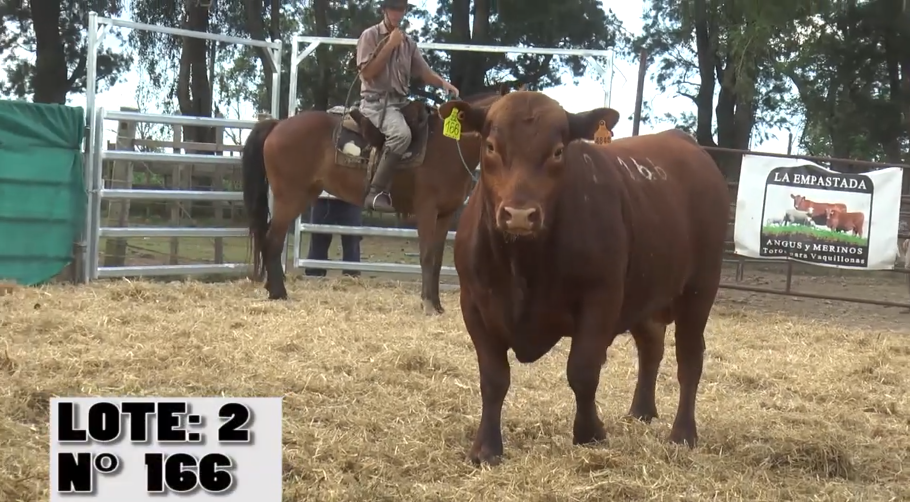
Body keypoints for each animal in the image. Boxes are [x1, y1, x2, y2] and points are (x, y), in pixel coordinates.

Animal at [242, 88, 516, 312]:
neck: (449, 146)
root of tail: (278, 125)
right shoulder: (426, 211)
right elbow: (427, 256)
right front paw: (427, 304)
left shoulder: (446, 215)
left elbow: (437, 259)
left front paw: (437, 305)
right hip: (290, 197)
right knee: (272, 240)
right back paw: (279, 293)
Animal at [444, 92, 732, 464]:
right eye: (491, 146)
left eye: (557, 151)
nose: (519, 214)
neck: (523, 263)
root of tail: (683, 142)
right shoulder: (474, 303)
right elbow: (493, 379)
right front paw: (486, 448)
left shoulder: (601, 298)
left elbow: (582, 371)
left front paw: (589, 433)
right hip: (645, 292)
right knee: (651, 347)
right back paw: (642, 411)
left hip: (700, 288)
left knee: (690, 358)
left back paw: (682, 433)